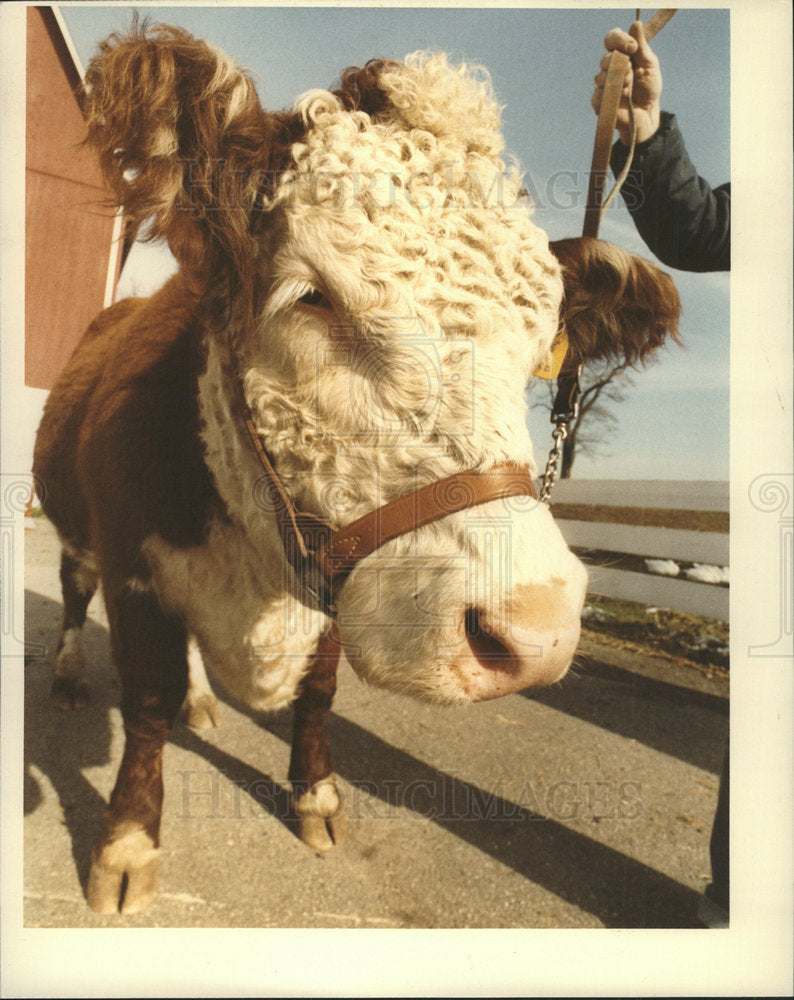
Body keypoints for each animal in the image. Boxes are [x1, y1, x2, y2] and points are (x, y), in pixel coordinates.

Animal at [32, 23, 680, 914]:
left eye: (539, 340)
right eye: (312, 297)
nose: (537, 632)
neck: (258, 576)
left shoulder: (343, 578)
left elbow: (317, 694)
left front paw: (316, 798)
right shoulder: (136, 566)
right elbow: (147, 705)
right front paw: (128, 847)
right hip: (73, 525)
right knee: (71, 593)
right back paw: (68, 674)